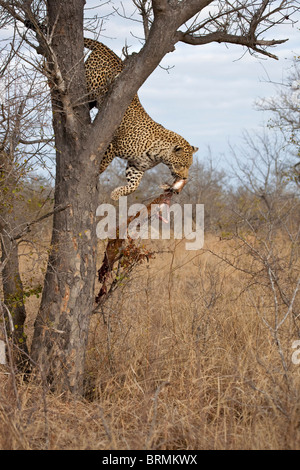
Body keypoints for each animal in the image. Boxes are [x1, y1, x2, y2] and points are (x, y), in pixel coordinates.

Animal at [84, 36, 199, 198]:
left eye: (189, 166)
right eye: (182, 165)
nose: (184, 178)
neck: (158, 154)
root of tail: (107, 50)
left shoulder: (136, 166)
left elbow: (134, 186)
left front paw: (116, 194)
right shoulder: (112, 145)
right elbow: (103, 164)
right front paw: (95, 176)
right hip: (92, 88)